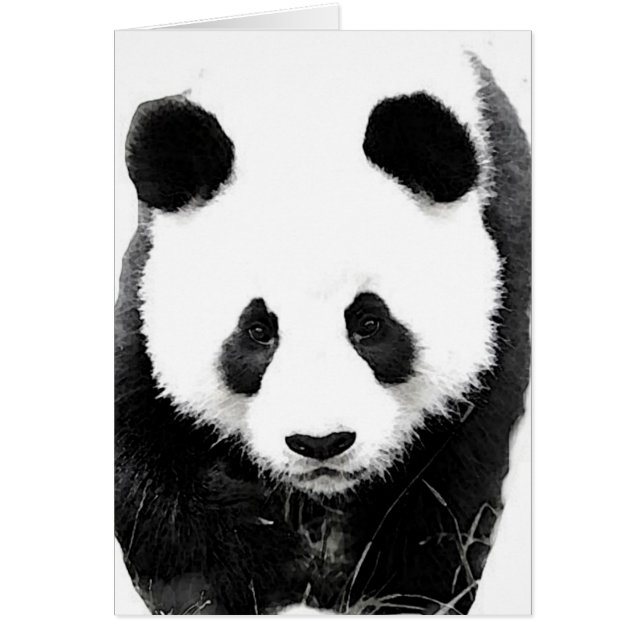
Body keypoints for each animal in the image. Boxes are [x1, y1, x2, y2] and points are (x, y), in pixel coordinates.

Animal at [115, 43, 531, 615]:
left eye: (370, 324)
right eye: (258, 331)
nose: (320, 443)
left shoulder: (504, 282)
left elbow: (446, 487)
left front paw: (386, 594)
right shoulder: (144, 296)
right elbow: (141, 464)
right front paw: (265, 564)